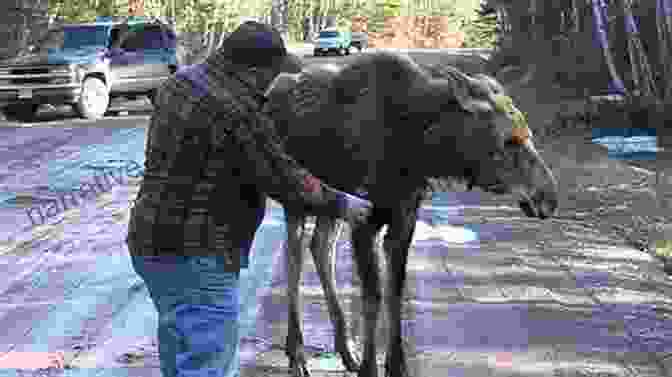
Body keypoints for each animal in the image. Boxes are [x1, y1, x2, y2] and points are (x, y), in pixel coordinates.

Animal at [262, 52, 556, 376]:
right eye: (509, 140)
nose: (549, 198)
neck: (419, 151)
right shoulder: (365, 221)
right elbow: (372, 297)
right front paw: (370, 368)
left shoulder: (403, 220)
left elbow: (395, 293)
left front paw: (396, 365)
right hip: (295, 200)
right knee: (294, 260)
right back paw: (297, 353)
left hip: (332, 206)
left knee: (321, 247)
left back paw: (346, 348)